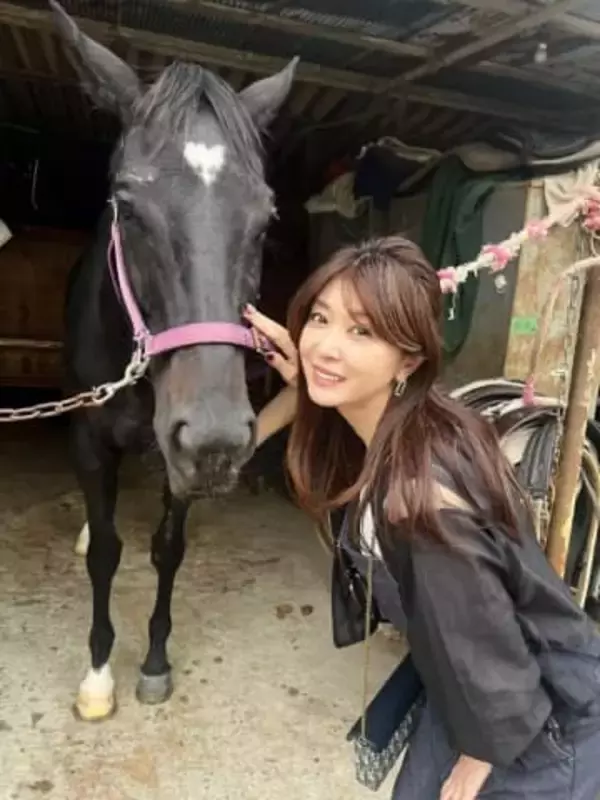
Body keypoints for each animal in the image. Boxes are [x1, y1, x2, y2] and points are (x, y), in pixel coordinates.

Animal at [49, 0, 297, 721]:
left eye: (266, 218)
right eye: (128, 208)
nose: (217, 440)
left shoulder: (176, 457)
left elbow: (168, 549)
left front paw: (155, 662)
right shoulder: (90, 437)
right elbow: (107, 553)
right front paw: (98, 673)